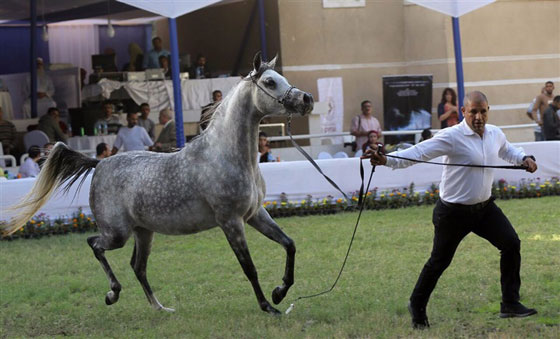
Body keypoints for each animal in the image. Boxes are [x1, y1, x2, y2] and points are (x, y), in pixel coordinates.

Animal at [4, 53, 312, 316]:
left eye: (282, 77)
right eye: (270, 82)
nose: (306, 99)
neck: (225, 155)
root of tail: (98, 164)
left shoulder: (254, 214)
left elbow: (290, 244)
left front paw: (279, 292)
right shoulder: (231, 221)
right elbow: (249, 267)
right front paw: (268, 306)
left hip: (144, 232)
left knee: (137, 266)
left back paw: (160, 307)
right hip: (117, 233)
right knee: (95, 245)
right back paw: (112, 294)